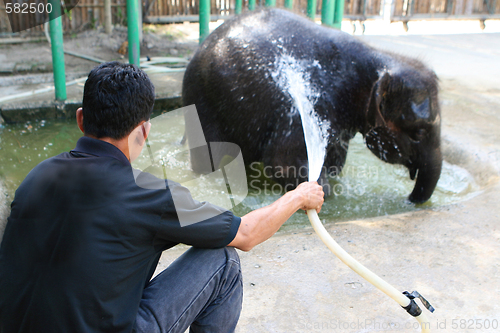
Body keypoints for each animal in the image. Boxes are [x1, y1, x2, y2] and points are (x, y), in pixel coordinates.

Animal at [183, 7, 442, 204]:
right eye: (418, 133)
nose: (409, 200)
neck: (377, 59)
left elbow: (336, 161)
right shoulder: (306, 106)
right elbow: (283, 162)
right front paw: (320, 192)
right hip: (200, 100)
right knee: (208, 158)